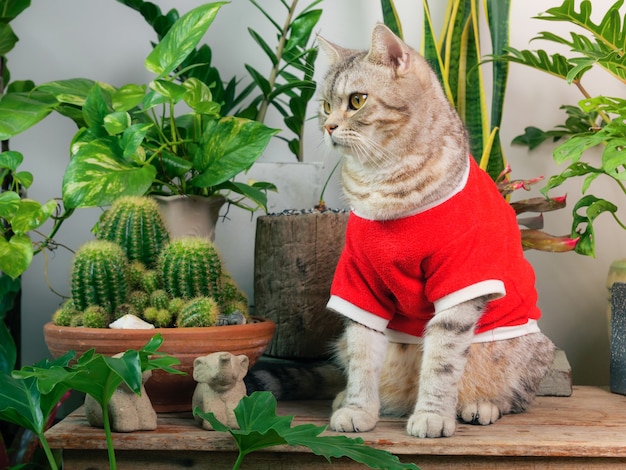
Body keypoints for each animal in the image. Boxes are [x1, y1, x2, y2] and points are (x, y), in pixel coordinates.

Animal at [314, 24, 552, 436]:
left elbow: (442, 360)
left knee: (513, 397)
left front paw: (432, 415)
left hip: (520, 349)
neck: (382, 184)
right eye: (326, 106)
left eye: (357, 100)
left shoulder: (461, 278)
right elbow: (362, 355)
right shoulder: (359, 281)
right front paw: (359, 408)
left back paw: (479, 405)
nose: (328, 127)